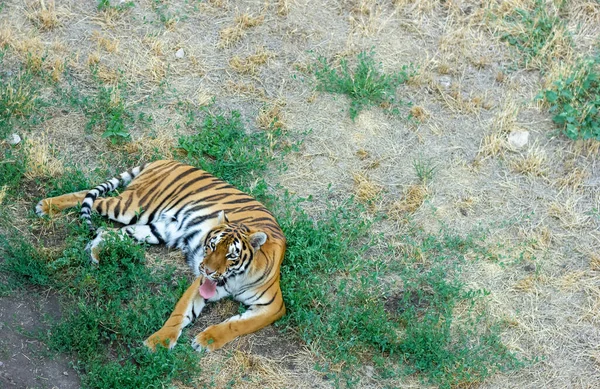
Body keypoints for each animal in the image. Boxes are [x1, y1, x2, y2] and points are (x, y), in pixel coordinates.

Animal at [36, 159, 288, 350]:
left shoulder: (273, 307)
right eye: (211, 246)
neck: (235, 279)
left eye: (231, 256)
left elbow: (237, 325)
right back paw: (46, 205)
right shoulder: (200, 284)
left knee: (109, 231)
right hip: (132, 207)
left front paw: (206, 341)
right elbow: (179, 314)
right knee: (89, 198)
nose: (206, 270)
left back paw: (95, 252)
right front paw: (158, 342)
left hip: (158, 229)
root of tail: (167, 160)